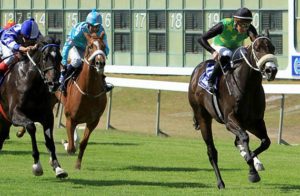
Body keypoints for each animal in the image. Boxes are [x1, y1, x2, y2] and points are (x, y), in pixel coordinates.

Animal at [0, 35, 68, 178]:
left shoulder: (47, 116)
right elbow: (31, 127)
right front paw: (37, 165)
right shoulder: (15, 114)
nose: (53, 83)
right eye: (45, 57)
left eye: (59, 57)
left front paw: (58, 167)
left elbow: (50, 141)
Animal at [56, 32, 108, 170]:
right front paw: (65, 143)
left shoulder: (93, 121)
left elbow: (83, 143)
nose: (100, 63)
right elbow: (70, 148)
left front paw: (78, 165)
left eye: (103, 46)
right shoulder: (70, 118)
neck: (89, 92)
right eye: (90, 46)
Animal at [189, 34, 278, 189]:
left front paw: (253, 160)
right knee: (211, 151)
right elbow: (245, 138)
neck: (247, 86)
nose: (271, 70)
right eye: (257, 48)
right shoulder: (230, 120)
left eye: (272, 48)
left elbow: (265, 142)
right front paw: (252, 173)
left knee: (237, 141)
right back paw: (220, 182)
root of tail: (196, 71)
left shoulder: (255, 121)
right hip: (203, 116)